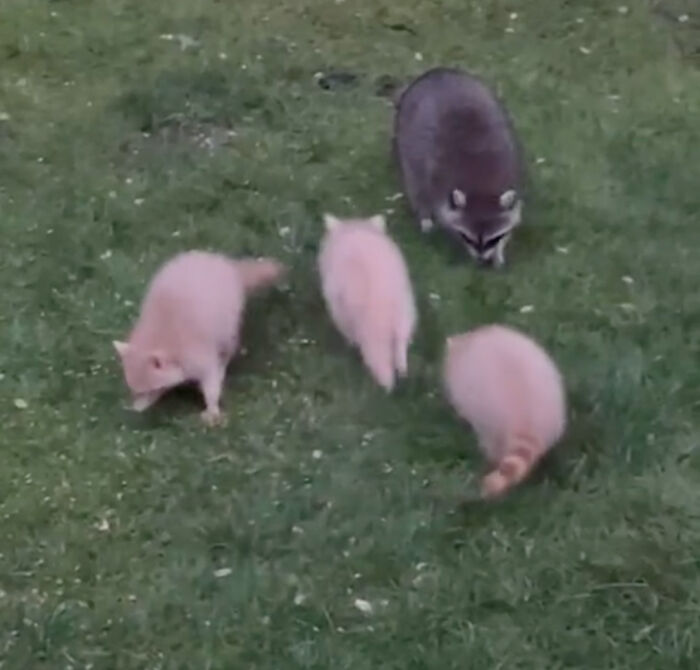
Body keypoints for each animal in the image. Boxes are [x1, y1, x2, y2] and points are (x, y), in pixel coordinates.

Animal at [393, 67, 524, 267]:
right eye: (468, 237)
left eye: (493, 239)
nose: (481, 259)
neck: (481, 187)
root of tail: (437, 72)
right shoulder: (438, 184)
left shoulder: (512, 171)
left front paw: (499, 252)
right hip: (407, 138)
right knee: (416, 182)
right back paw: (424, 216)